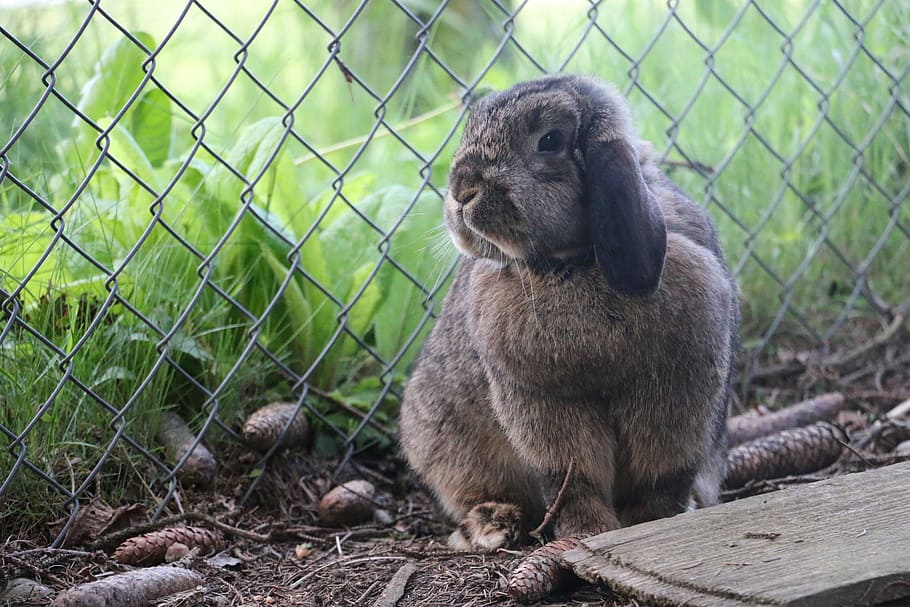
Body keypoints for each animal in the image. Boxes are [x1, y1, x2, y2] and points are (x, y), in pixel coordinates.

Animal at [399, 74, 739, 551]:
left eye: (550, 140)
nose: (462, 193)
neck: (571, 263)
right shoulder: (544, 407)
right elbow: (572, 479)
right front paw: (588, 531)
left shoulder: (677, 397)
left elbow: (661, 477)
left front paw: (650, 522)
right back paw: (488, 527)